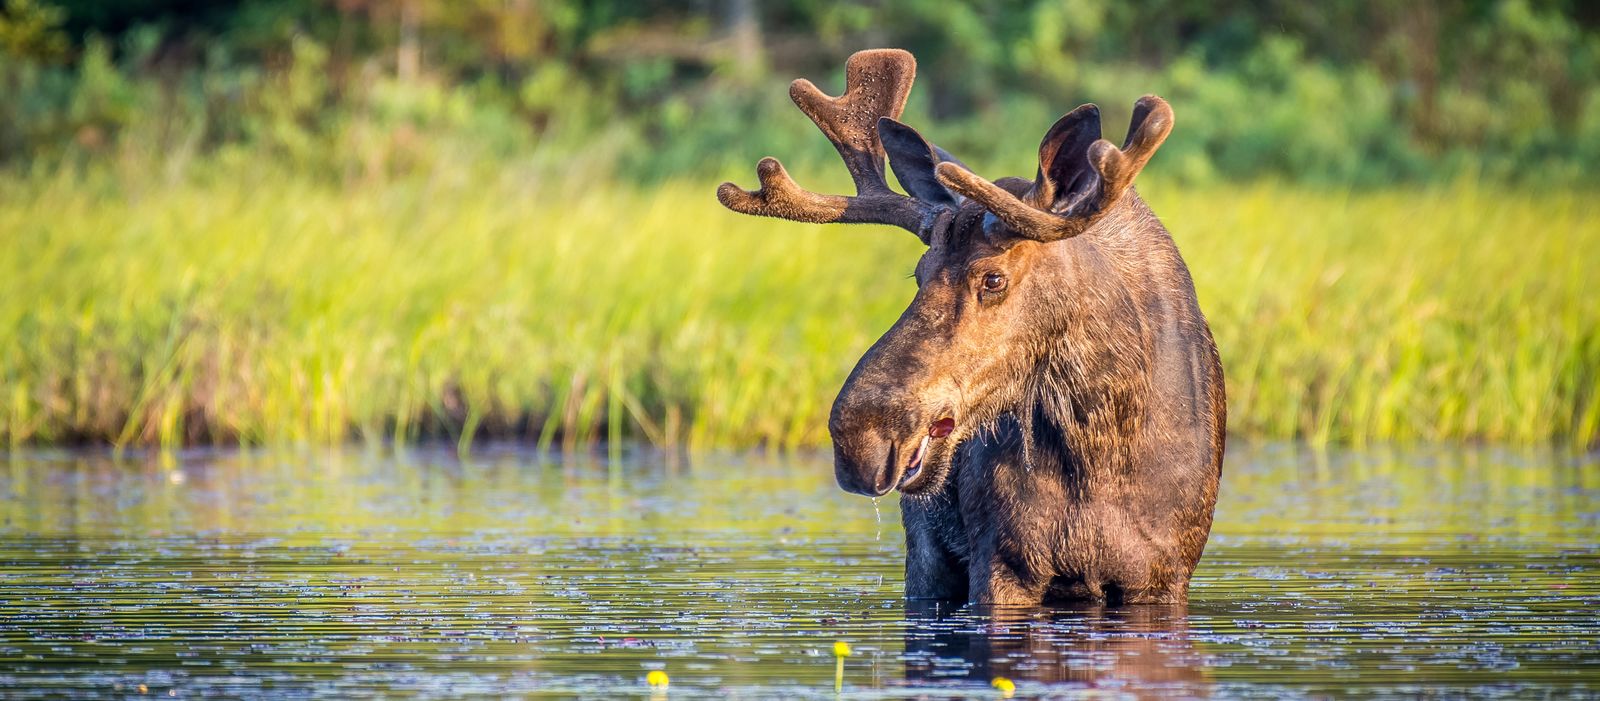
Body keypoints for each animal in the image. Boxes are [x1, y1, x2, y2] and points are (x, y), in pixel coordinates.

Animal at [713, 50, 1222, 608]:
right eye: (919, 273)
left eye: (993, 278)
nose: (860, 437)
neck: (1104, 446)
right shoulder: (1001, 561)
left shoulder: (1163, 575)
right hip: (925, 553)